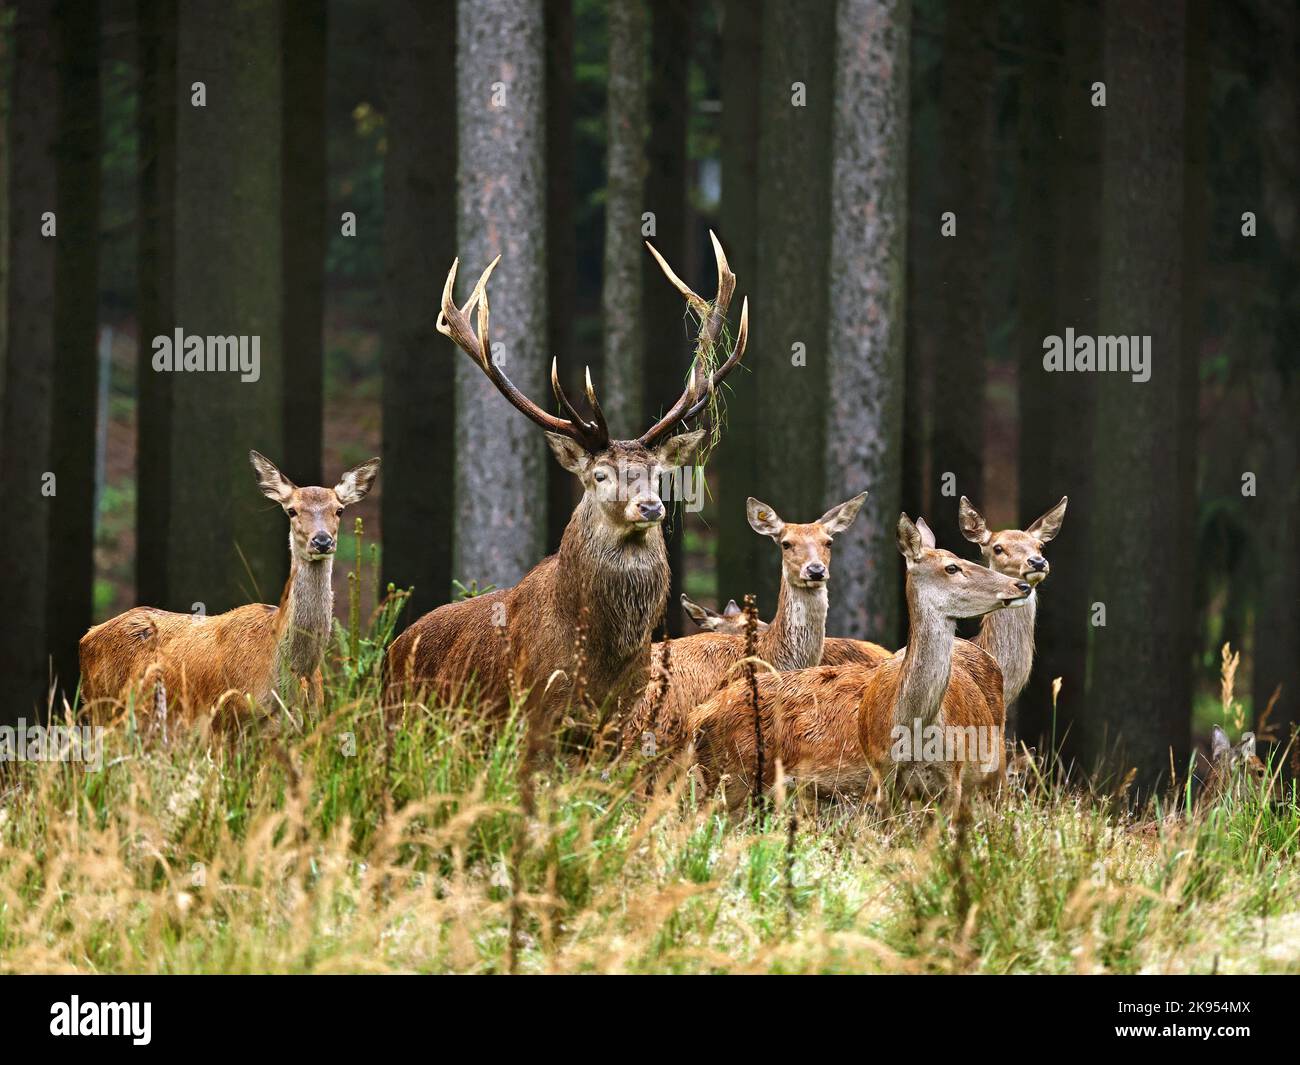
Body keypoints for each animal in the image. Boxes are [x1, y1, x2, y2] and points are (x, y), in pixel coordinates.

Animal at [79, 451, 380, 719]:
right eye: (292, 510)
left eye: (339, 510)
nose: (322, 540)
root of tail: (87, 637)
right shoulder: (225, 714)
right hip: (100, 707)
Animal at [385, 233, 749, 739]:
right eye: (600, 474)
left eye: (659, 474)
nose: (650, 507)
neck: (600, 661)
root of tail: (391, 649)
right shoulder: (535, 712)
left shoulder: (621, 721)